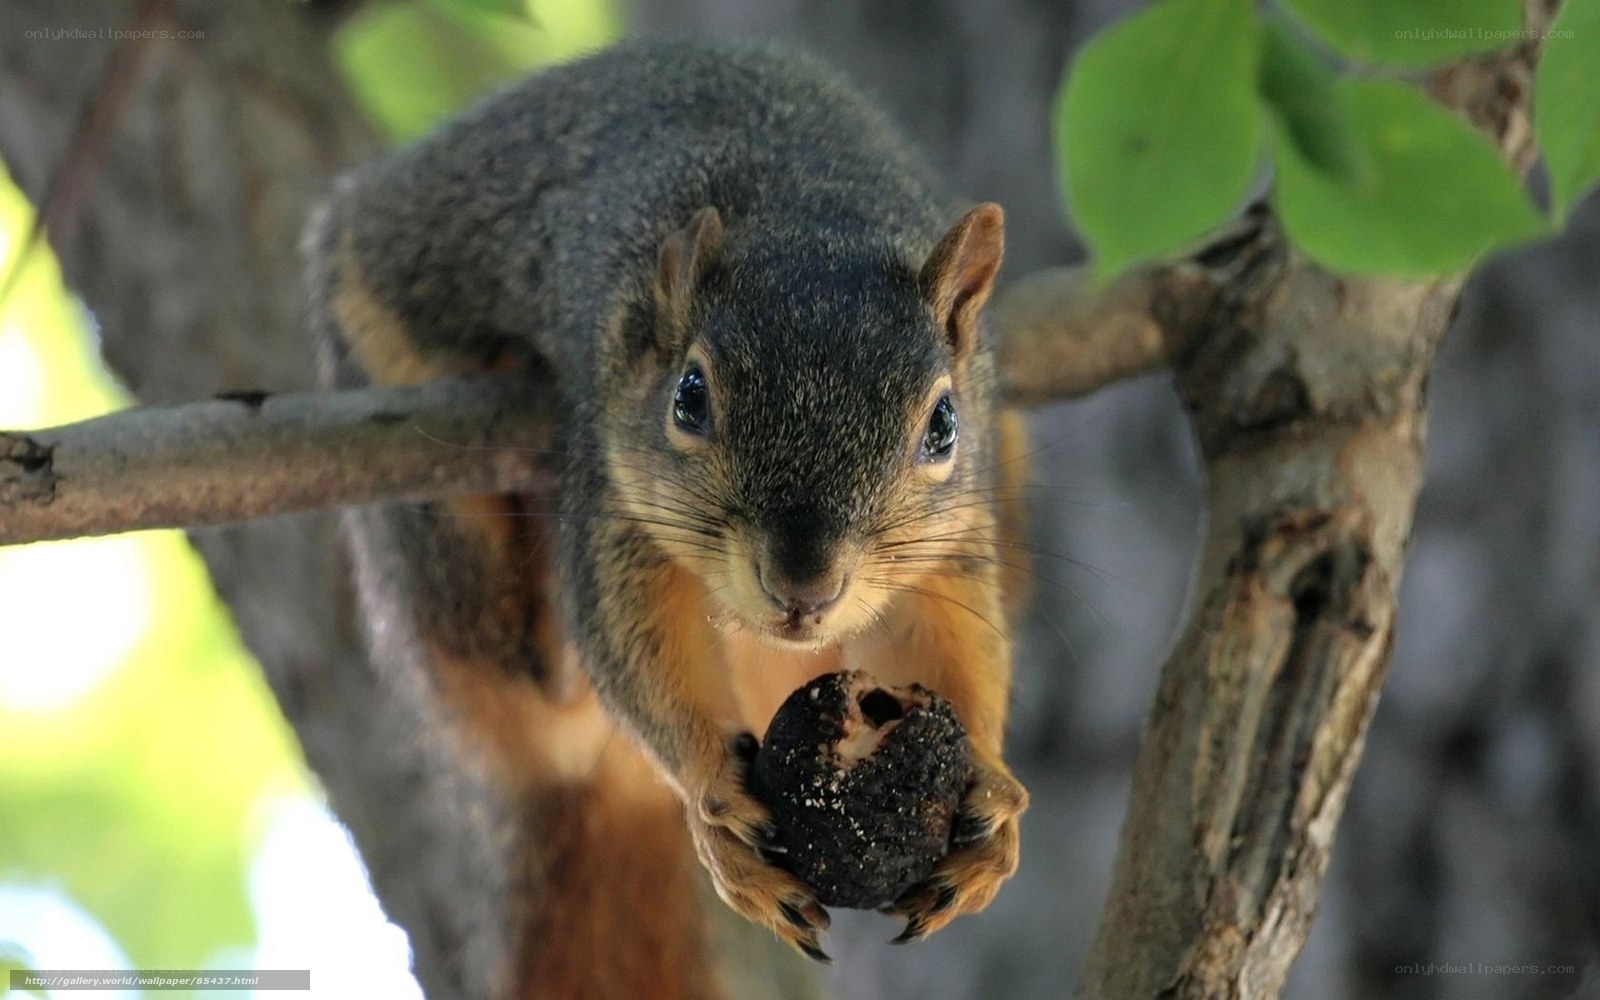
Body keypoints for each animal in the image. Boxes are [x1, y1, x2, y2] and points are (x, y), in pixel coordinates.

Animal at [306, 36, 1031, 993]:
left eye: (943, 424)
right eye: (689, 398)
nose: (805, 588)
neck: (805, 205)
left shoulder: (955, 540)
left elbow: (952, 645)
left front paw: (991, 793)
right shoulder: (614, 492)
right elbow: (633, 641)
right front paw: (712, 793)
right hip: (425, 512)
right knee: (535, 696)